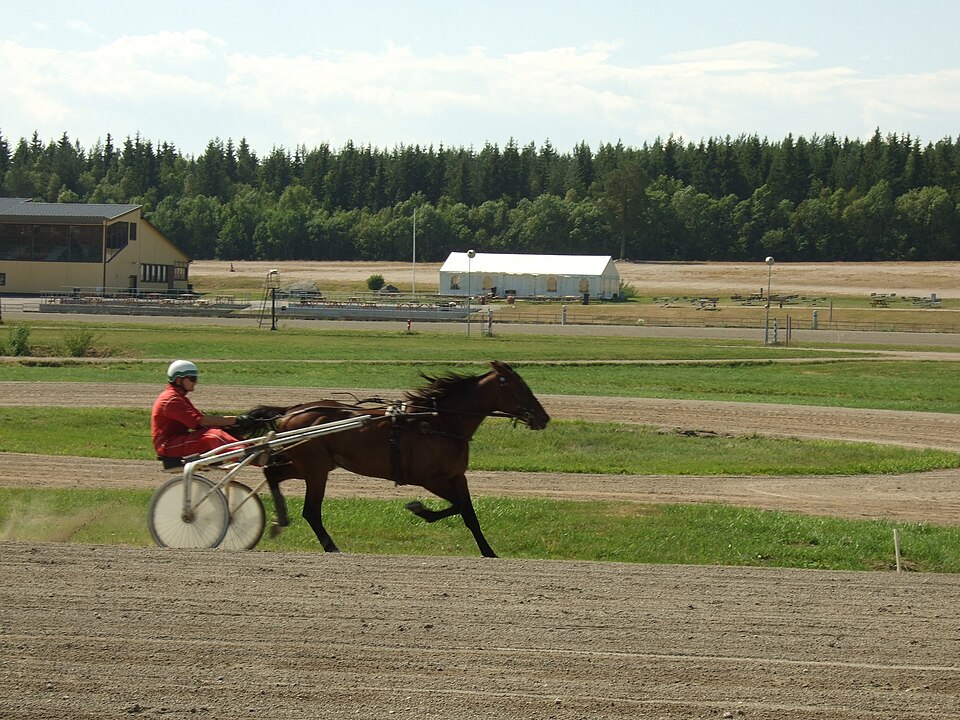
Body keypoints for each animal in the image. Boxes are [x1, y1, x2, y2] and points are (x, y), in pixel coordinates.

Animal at [244, 360, 550, 558]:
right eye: (520, 387)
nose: (544, 417)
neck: (438, 422)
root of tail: (291, 411)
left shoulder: (456, 476)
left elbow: (468, 513)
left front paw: (489, 552)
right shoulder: (429, 478)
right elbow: (458, 507)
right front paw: (419, 508)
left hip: (308, 465)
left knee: (273, 474)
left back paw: (281, 518)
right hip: (315, 468)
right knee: (311, 510)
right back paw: (330, 545)